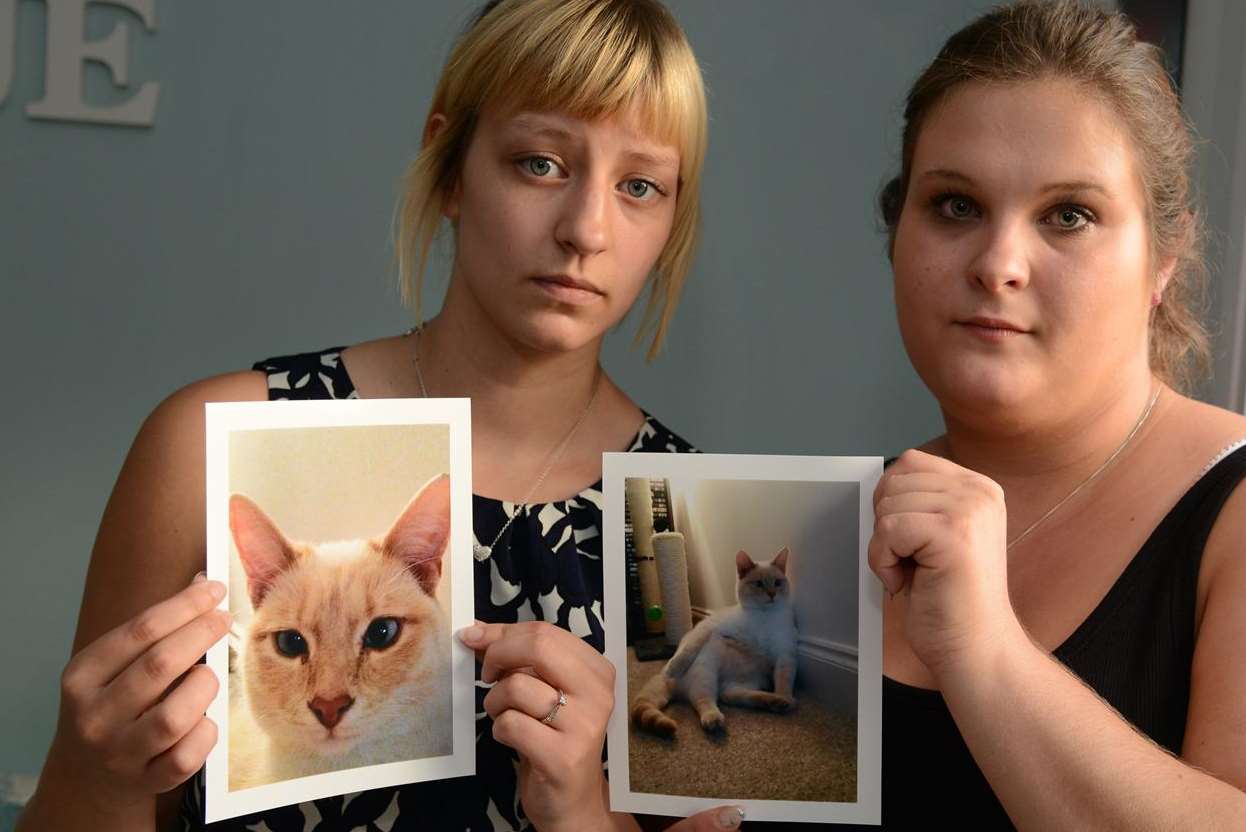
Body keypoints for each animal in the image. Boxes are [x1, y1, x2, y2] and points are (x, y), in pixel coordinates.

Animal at [632, 545, 797, 732]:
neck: (764, 617)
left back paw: (778, 701)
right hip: (706, 667)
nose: (772, 594)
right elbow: (689, 649)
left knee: (729, 695)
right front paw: (673, 667)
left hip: (744, 681)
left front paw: (787, 698)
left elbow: (784, 680)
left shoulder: (786, 654)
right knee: (704, 698)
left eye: (777, 582)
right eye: (759, 584)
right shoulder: (711, 627)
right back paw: (713, 719)